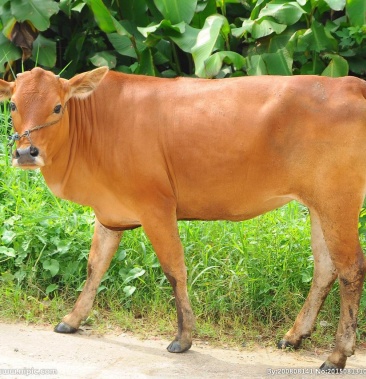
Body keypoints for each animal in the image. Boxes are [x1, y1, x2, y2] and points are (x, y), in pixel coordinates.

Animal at [0, 67, 366, 372]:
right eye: (14, 105)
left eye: (57, 107)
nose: (25, 153)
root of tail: (350, 83)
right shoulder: (109, 213)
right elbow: (95, 267)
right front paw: (72, 319)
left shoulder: (156, 206)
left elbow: (174, 269)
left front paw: (184, 337)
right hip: (317, 204)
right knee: (325, 268)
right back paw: (294, 336)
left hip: (338, 199)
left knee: (351, 269)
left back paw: (336, 355)